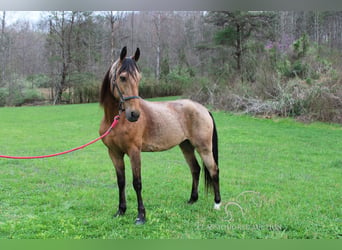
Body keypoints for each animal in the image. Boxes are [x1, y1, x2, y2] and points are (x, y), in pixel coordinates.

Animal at [99, 47, 222, 225]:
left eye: (139, 78)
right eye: (122, 77)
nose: (134, 114)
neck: (116, 121)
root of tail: (204, 109)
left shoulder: (134, 152)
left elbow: (137, 183)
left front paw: (141, 216)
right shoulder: (114, 153)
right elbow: (121, 182)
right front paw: (121, 211)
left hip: (204, 148)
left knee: (213, 170)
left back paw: (217, 204)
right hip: (186, 146)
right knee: (195, 169)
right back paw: (192, 200)